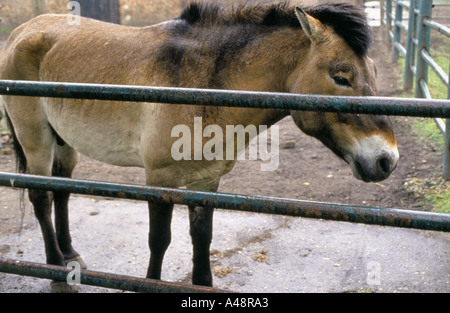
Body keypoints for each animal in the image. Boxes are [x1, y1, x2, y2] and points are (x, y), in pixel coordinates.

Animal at [1, 1, 400, 292]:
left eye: (374, 73)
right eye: (341, 77)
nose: (387, 160)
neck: (203, 86)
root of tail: (21, 32)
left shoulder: (207, 179)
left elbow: (201, 237)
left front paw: (203, 284)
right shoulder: (160, 179)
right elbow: (159, 240)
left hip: (64, 143)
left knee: (61, 190)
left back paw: (70, 257)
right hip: (36, 139)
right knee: (40, 196)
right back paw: (55, 267)